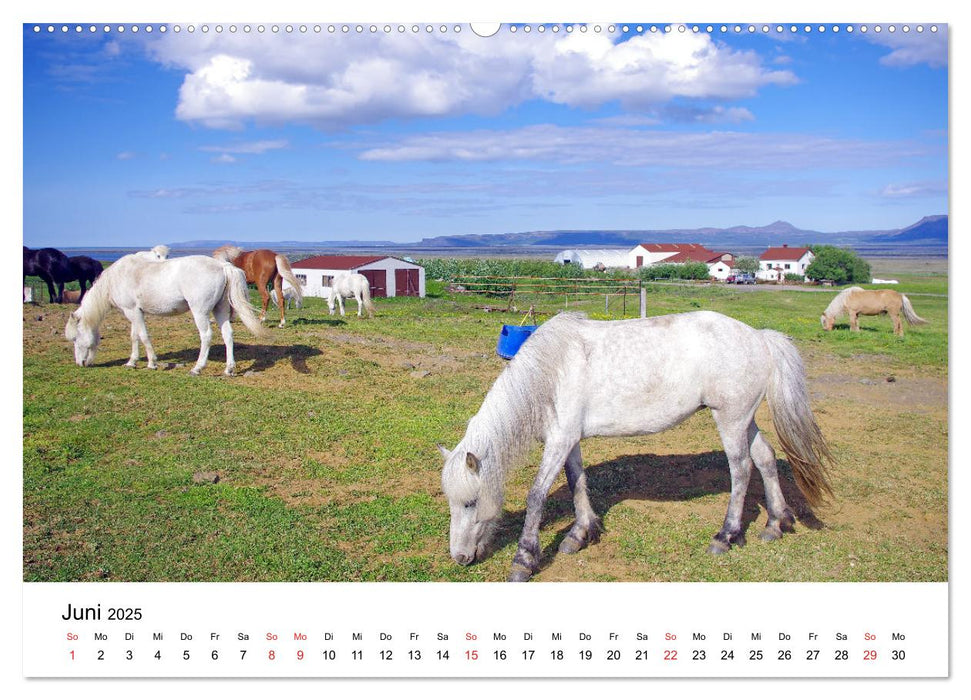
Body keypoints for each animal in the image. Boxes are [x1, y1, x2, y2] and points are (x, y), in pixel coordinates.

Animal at [65, 254, 266, 378]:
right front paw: (131, 362)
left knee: (206, 336)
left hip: (200, 311)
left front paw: (152, 363)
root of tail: (222, 266)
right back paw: (229, 369)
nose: (80, 363)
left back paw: (197, 368)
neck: (118, 276)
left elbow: (143, 336)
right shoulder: (134, 312)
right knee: (228, 335)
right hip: (220, 309)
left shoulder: (132, 311)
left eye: (75, 338)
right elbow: (134, 336)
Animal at [440, 310, 836, 580]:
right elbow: (577, 481)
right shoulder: (568, 439)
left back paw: (726, 536)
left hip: (731, 419)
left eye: (470, 502)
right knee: (766, 458)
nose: (459, 557)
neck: (550, 372)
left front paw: (524, 560)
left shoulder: (559, 441)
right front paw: (580, 534)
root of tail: (760, 337)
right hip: (744, 420)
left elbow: (536, 495)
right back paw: (776, 524)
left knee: (741, 470)